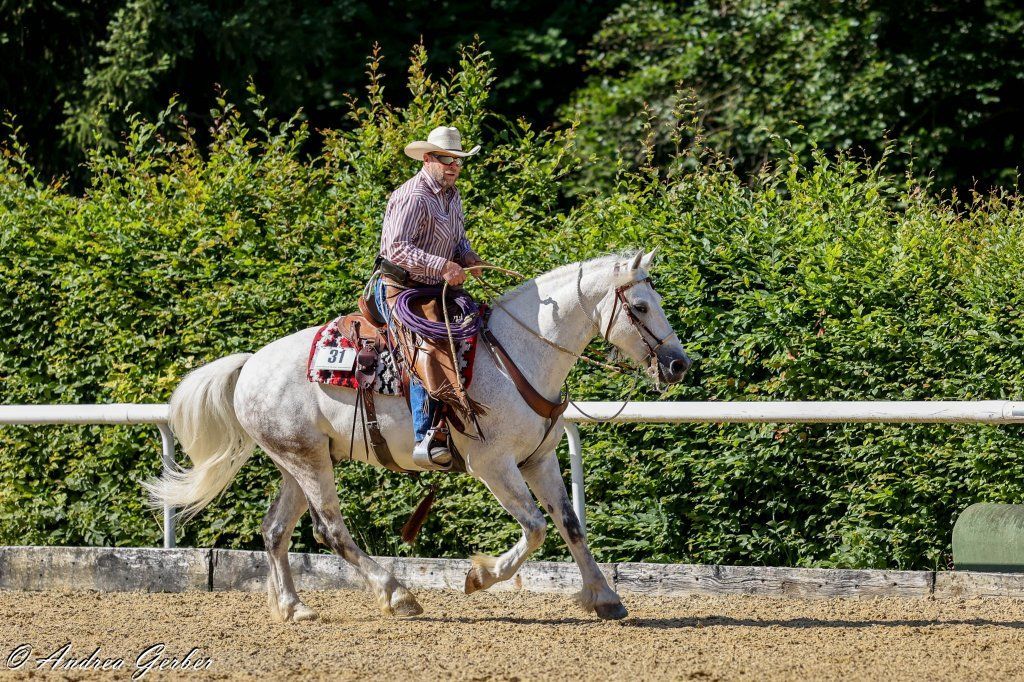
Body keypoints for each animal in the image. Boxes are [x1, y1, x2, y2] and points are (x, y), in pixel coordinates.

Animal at [145, 250, 691, 622]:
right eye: (641, 306)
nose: (678, 364)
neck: (515, 354)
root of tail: (250, 364)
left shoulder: (540, 460)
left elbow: (571, 525)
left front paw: (605, 597)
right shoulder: (494, 465)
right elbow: (536, 528)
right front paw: (480, 576)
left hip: (297, 459)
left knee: (276, 529)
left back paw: (294, 607)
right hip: (309, 462)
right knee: (330, 529)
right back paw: (397, 594)